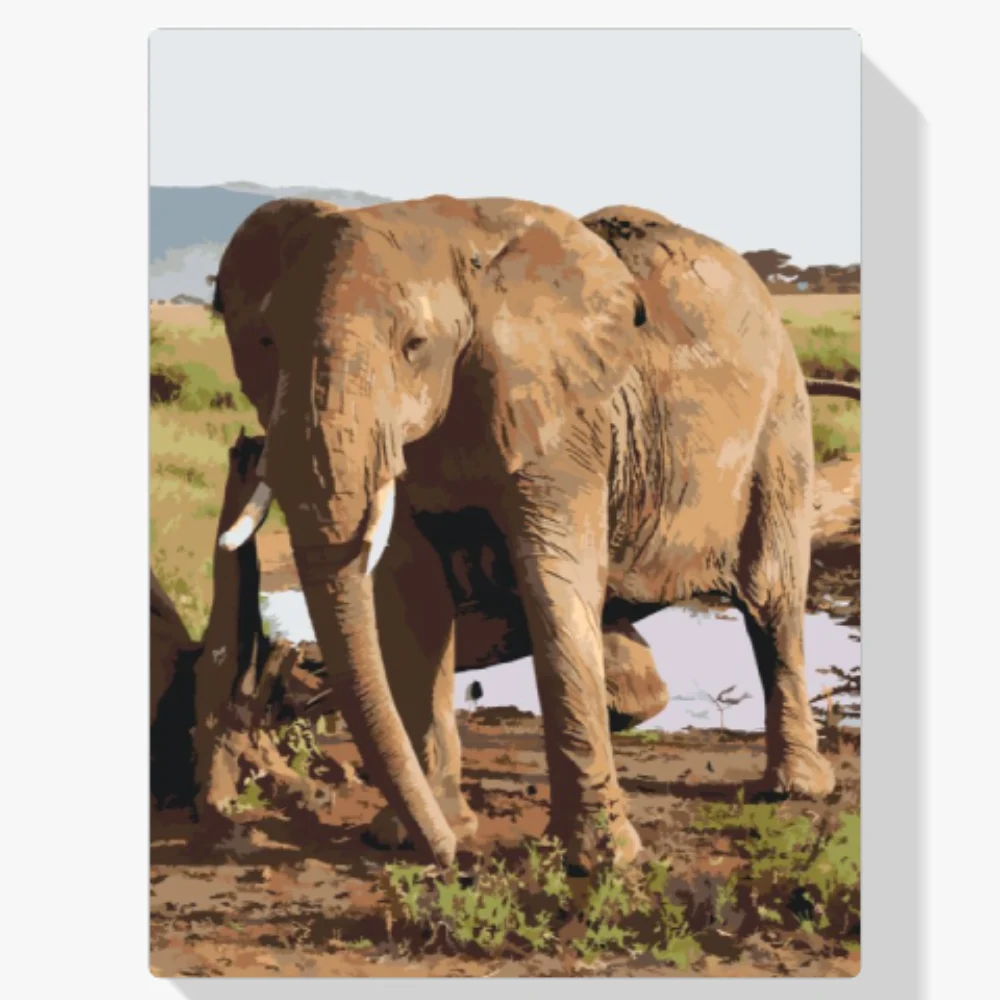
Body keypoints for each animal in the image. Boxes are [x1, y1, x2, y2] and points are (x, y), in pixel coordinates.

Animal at [212, 194, 836, 870]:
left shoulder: (565, 425)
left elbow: (552, 581)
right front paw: (418, 834)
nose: (452, 864)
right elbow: (411, 600)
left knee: (773, 598)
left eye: (414, 345)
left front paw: (600, 860)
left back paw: (793, 789)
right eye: (267, 341)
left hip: (781, 428)